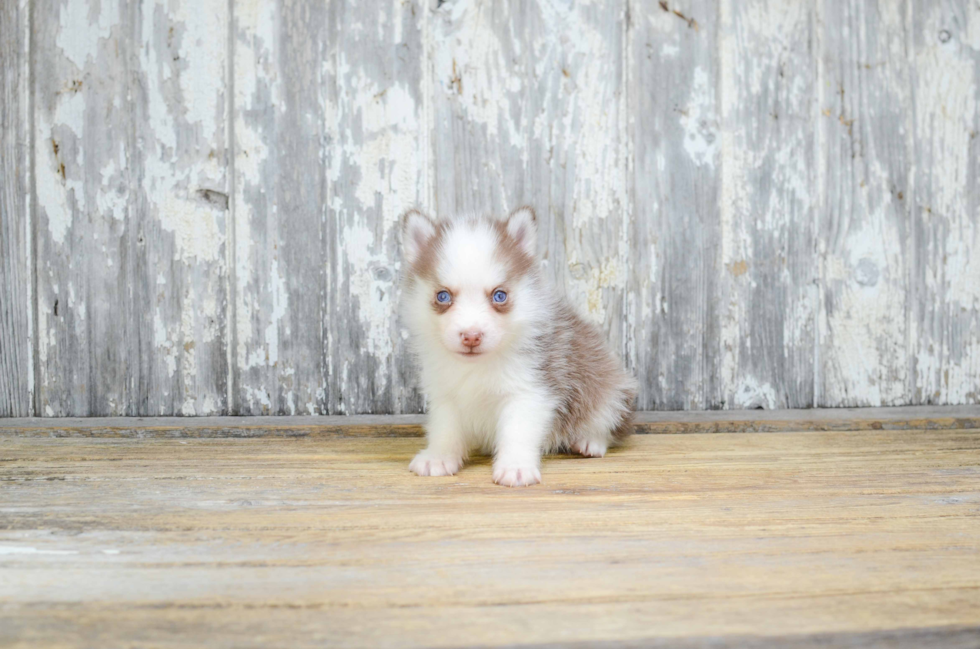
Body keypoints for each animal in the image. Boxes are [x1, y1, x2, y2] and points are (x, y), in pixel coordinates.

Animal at [398, 205, 636, 484]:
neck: (479, 366)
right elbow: (445, 428)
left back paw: (590, 441)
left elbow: (518, 432)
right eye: (443, 296)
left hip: (608, 389)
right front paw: (439, 456)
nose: (471, 336)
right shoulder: (445, 393)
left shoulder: (530, 390)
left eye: (499, 295)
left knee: (608, 420)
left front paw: (515, 466)